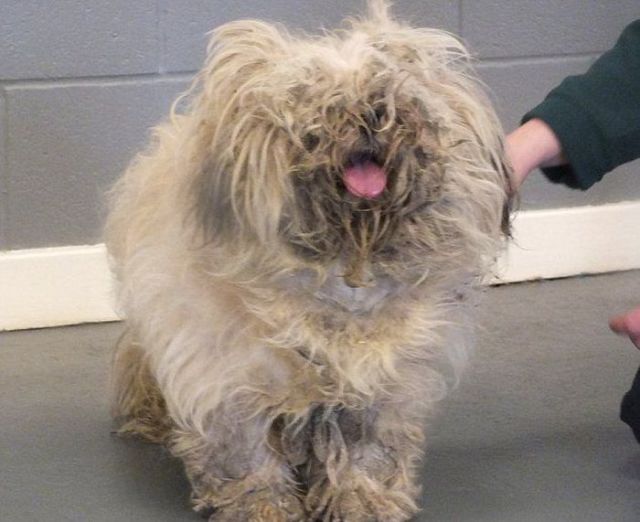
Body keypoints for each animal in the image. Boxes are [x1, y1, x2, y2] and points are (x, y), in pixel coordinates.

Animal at [107, 2, 512, 516]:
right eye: (319, 96)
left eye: (386, 89)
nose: (371, 114)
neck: (345, 261)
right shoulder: (228, 376)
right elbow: (248, 455)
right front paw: (262, 508)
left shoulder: (382, 386)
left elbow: (365, 452)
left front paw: (362, 501)